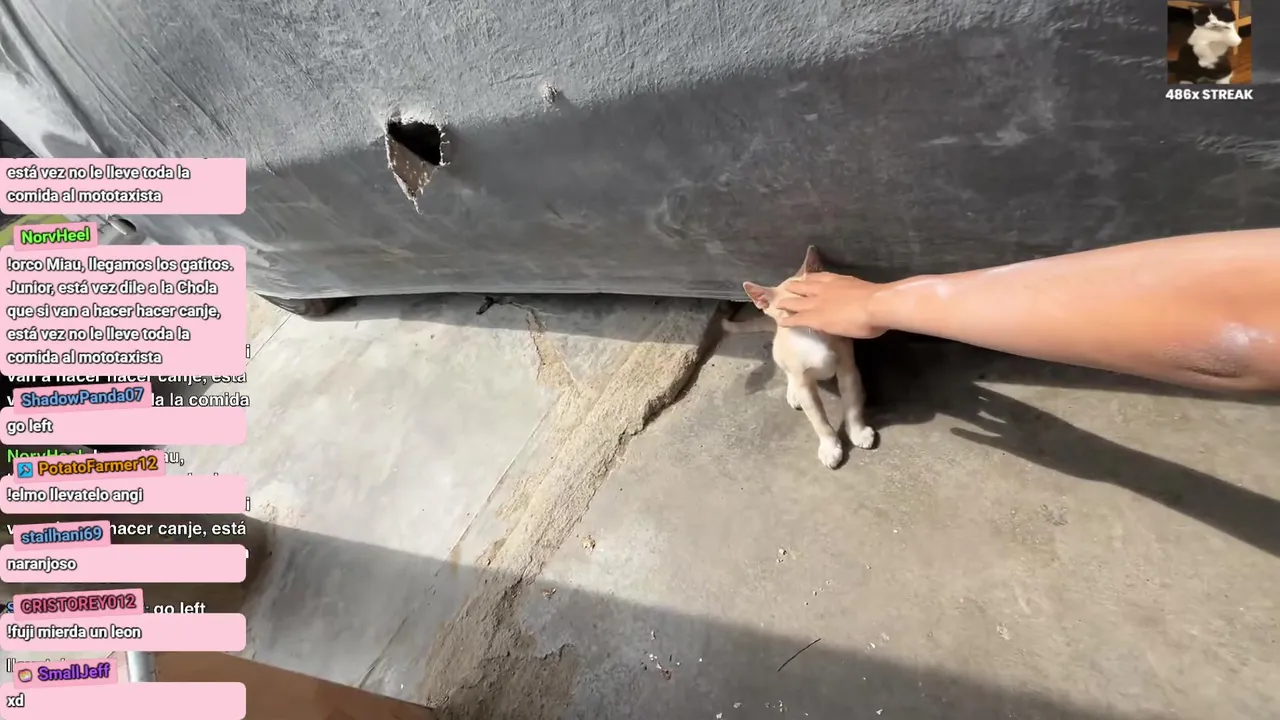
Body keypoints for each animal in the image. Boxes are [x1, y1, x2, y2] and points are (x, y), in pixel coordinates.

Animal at [724, 246, 876, 469]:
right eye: (789, 309)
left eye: (811, 297)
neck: (813, 338)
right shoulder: (805, 384)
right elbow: (818, 419)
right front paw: (830, 446)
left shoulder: (847, 369)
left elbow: (852, 403)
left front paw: (857, 431)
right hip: (780, 353)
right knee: (788, 373)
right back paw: (792, 391)